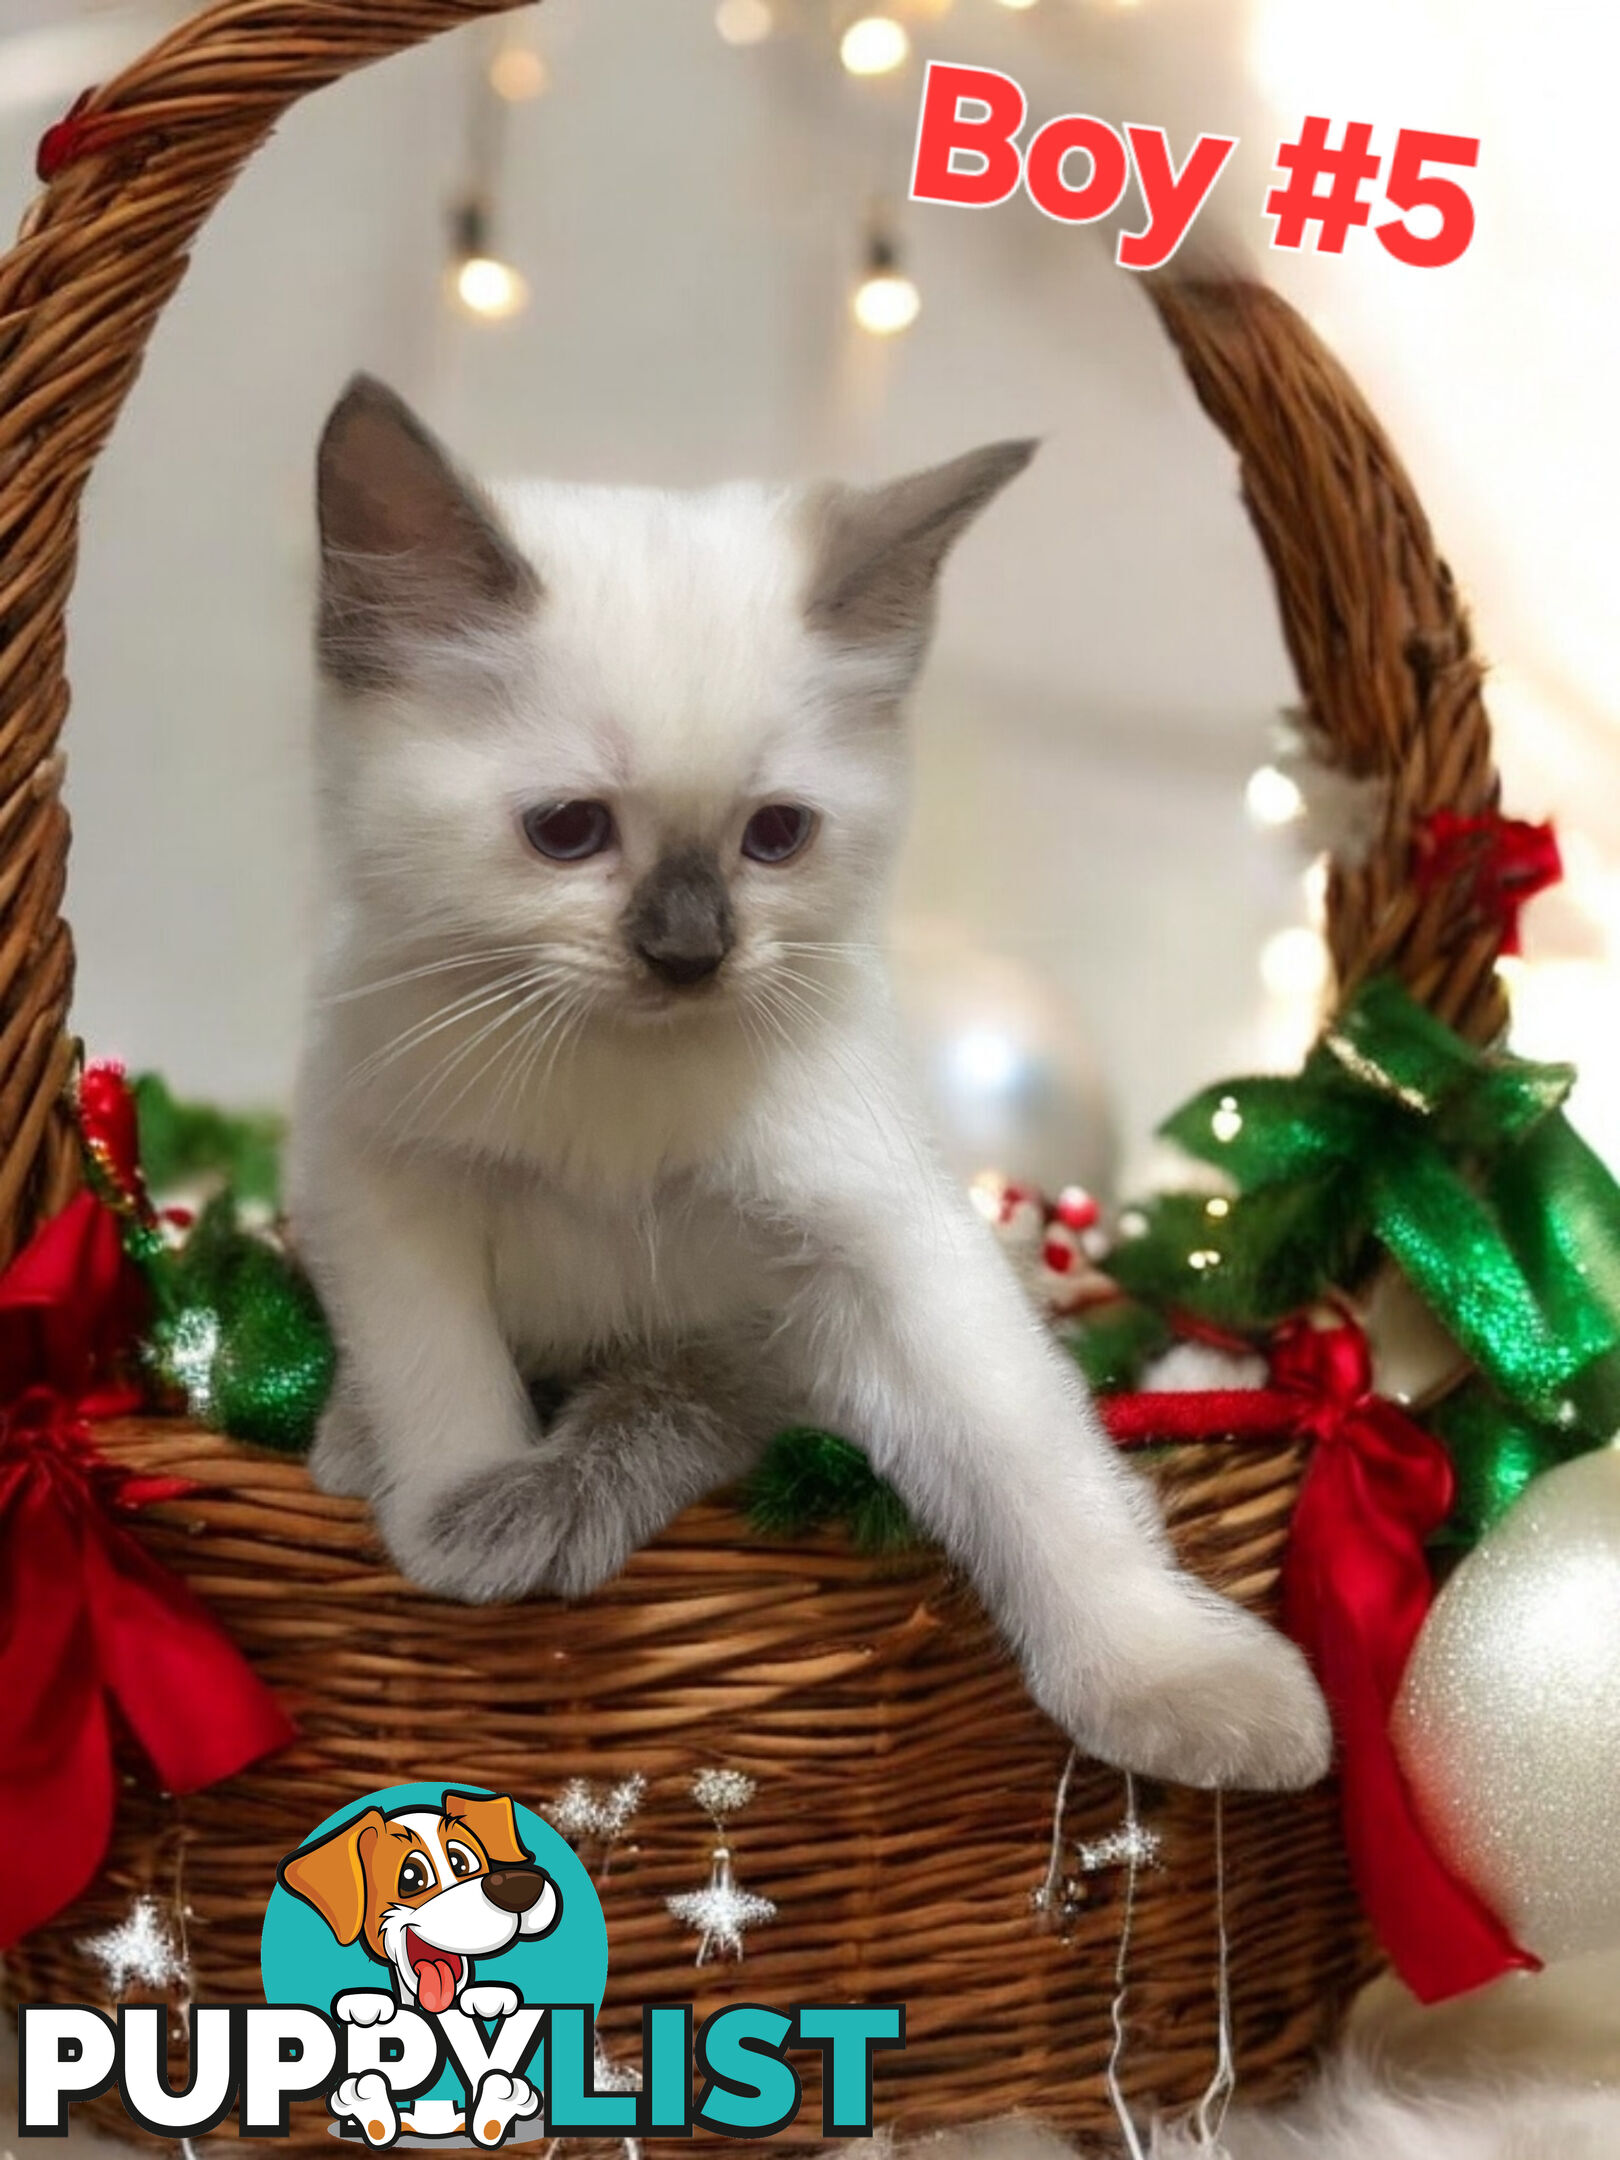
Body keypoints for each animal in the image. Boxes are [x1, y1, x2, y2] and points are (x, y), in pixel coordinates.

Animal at [291, 375, 1330, 1788]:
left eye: (776, 836)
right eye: (567, 831)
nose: (689, 955)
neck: (622, 1080)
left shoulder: (884, 1247)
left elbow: (1037, 1465)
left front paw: (1171, 1678)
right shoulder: (382, 1180)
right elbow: (440, 1377)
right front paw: (462, 1513)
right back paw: (358, 1443)